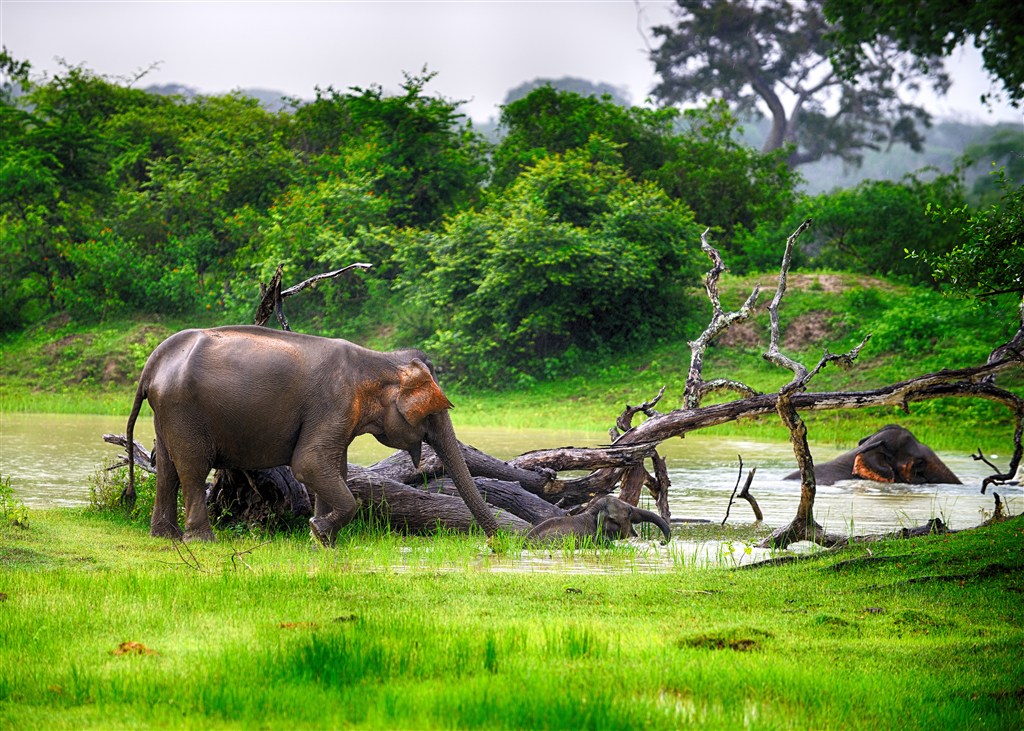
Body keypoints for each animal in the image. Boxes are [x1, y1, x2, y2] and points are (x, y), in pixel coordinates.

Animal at [125, 325, 501, 540]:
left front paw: (321, 538)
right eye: (433, 415)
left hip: (167, 411)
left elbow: (333, 467)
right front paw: (319, 532)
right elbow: (309, 463)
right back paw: (201, 539)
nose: (495, 545)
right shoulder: (333, 403)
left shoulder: (340, 415)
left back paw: (164, 536)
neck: (379, 360)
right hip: (184, 409)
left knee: (167, 468)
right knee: (191, 468)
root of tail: (152, 364)